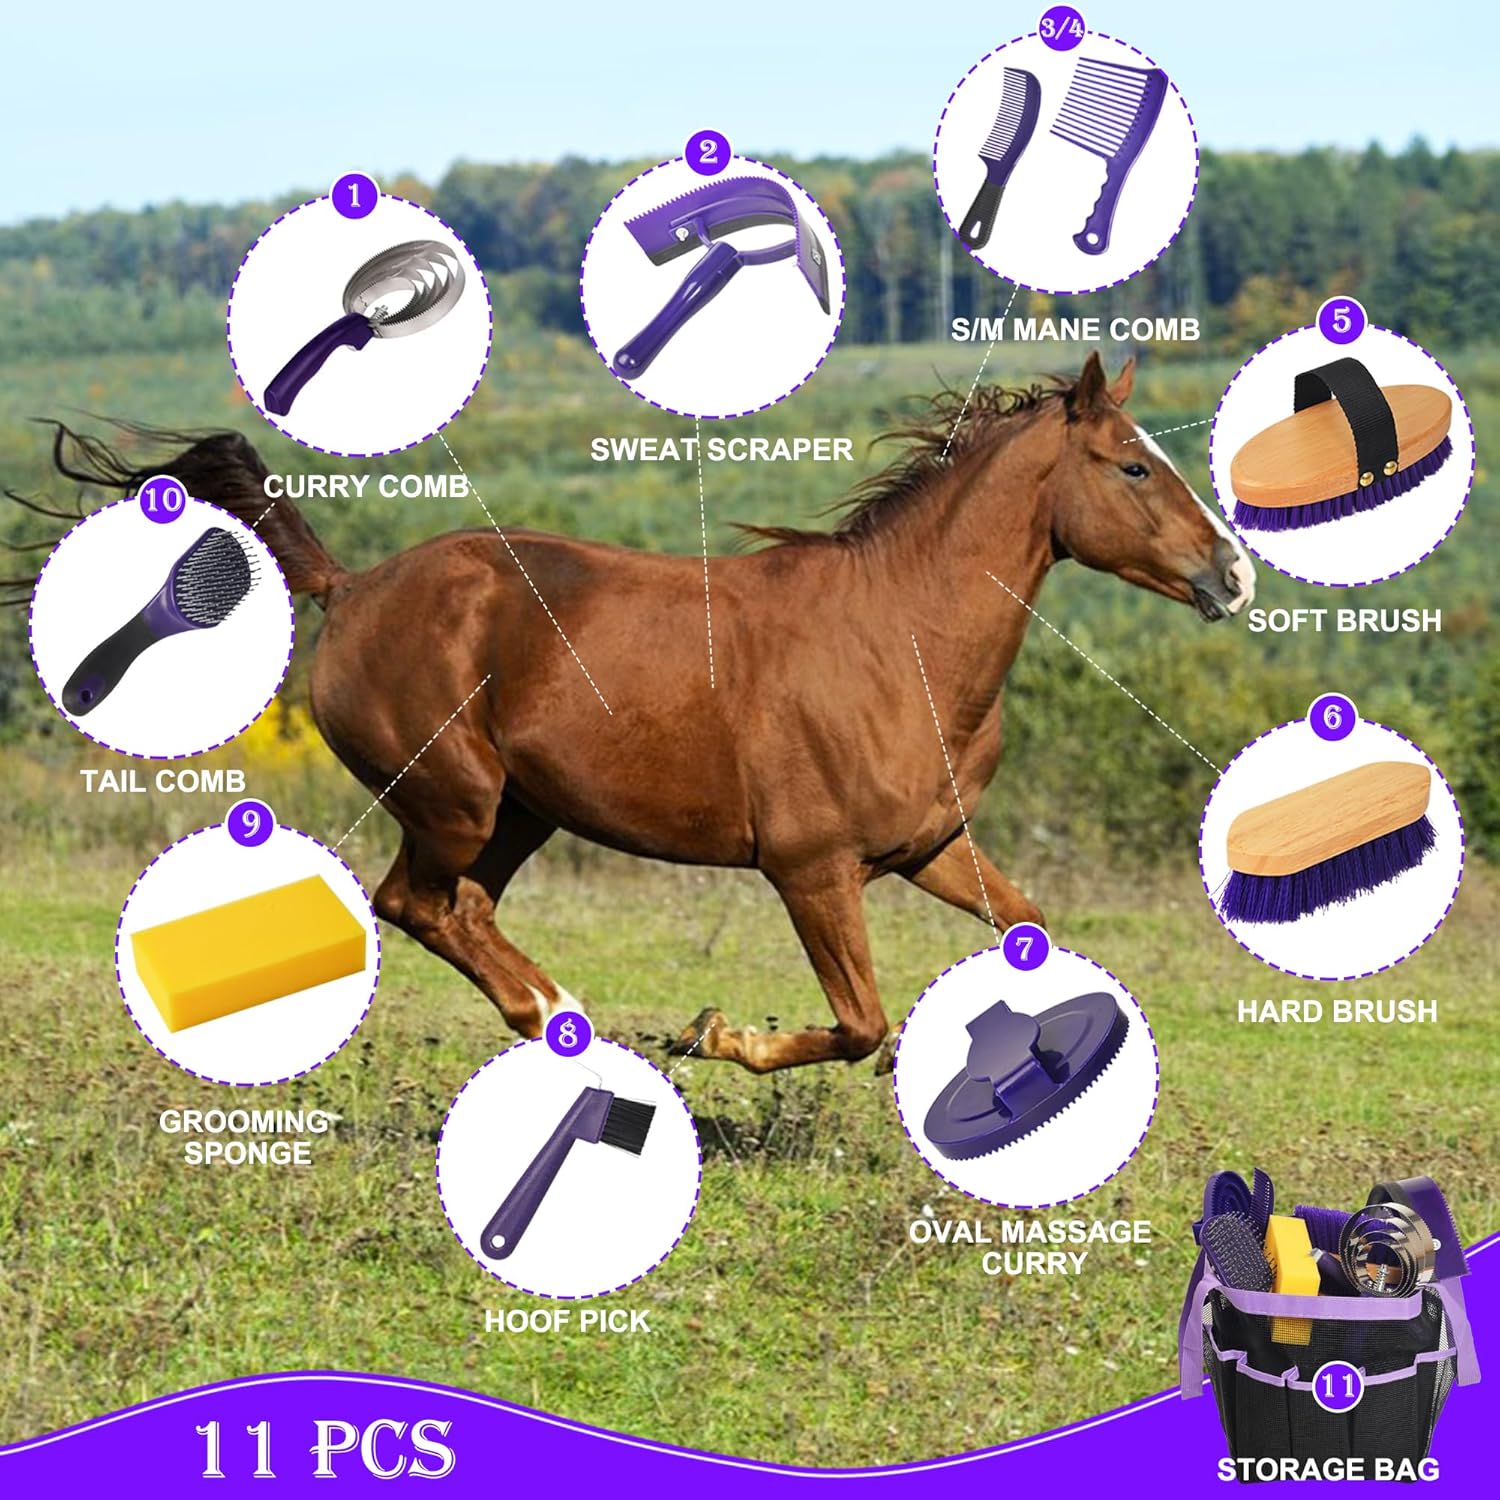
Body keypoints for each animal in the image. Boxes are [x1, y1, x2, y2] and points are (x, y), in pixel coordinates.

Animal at [19, 353, 1252, 1072]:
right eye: (1133, 467)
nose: (1233, 575)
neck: (899, 641)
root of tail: (351, 588)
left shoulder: (930, 847)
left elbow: (1032, 933)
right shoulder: (811, 869)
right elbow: (862, 1025)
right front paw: (717, 1036)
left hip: (521, 812)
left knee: (458, 909)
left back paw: (564, 1019)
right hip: (457, 800)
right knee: (414, 903)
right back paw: (565, 1017)